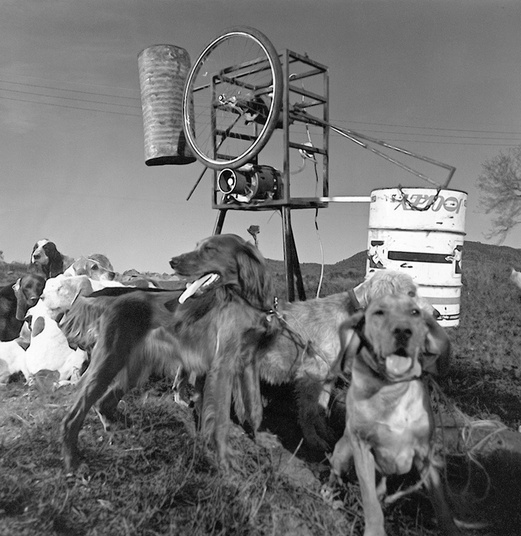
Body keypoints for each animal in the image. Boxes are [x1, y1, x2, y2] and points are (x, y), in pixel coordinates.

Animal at [62, 237, 276, 472]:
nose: (172, 262)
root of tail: (116, 299)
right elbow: (220, 419)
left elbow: (255, 407)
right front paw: (226, 459)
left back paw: (117, 429)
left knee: (103, 402)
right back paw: (72, 462)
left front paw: (260, 439)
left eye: (209, 249)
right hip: (109, 361)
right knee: (75, 413)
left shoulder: (249, 364)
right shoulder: (222, 368)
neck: (245, 301)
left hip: (135, 367)